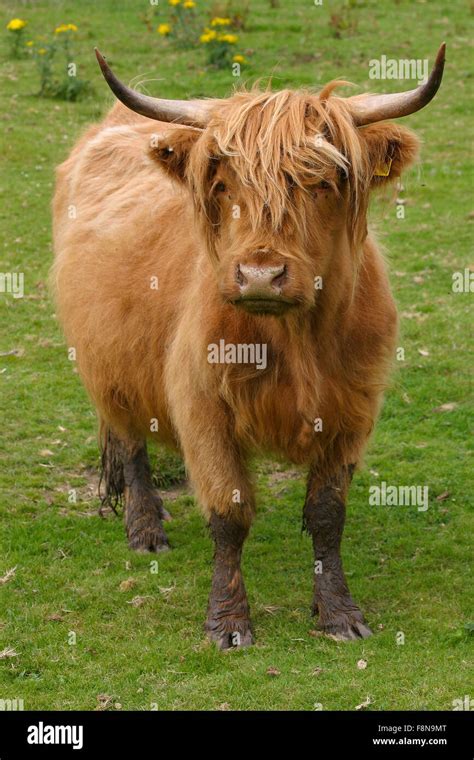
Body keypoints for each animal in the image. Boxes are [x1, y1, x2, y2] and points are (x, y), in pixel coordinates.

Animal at [51, 43, 444, 648]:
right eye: (223, 185)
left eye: (323, 182)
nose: (261, 275)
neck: (293, 342)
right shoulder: (201, 407)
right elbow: (229, 515)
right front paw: (228, 622)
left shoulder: (354, 411)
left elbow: (327, 515)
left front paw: (339, 614)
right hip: (106, 365)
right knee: (130, 441)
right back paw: (146, 528)